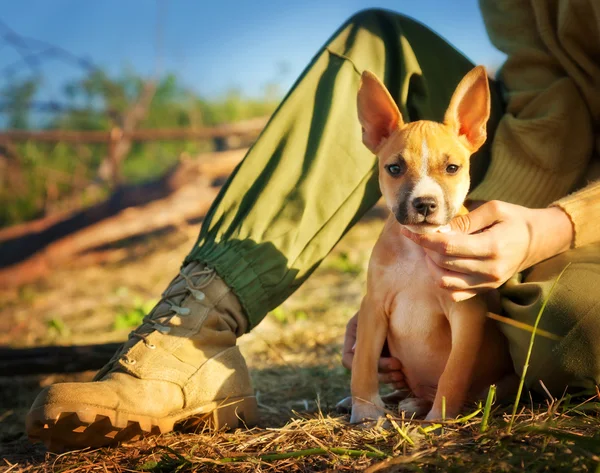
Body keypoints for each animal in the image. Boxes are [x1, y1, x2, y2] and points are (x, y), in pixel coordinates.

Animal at [352, 64, 516, 422]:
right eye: (394, 168)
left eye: (452, 167)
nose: (425, 204)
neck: (419, 248)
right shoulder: (373, 308)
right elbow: (362, 363)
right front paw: (366, 409)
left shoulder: (466, 314)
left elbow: (453, 373)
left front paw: (438, 420)